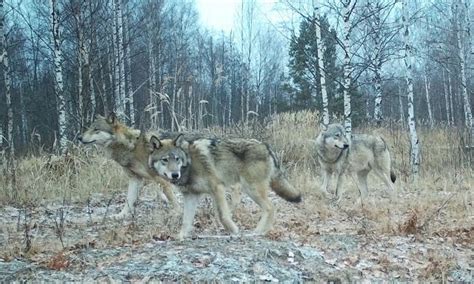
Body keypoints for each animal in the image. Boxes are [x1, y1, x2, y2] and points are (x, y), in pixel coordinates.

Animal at [148, 135, 302, 240]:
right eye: (165, 160)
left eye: (177, 159)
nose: (175, 174)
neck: (190, 163)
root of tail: (266, 146)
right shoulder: (190, 196)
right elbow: (186, 220)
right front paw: (180, 237)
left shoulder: (217, 188)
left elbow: (223, 215)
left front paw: (234, 231)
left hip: (251, 189)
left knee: (271, 208)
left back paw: (258, 232)